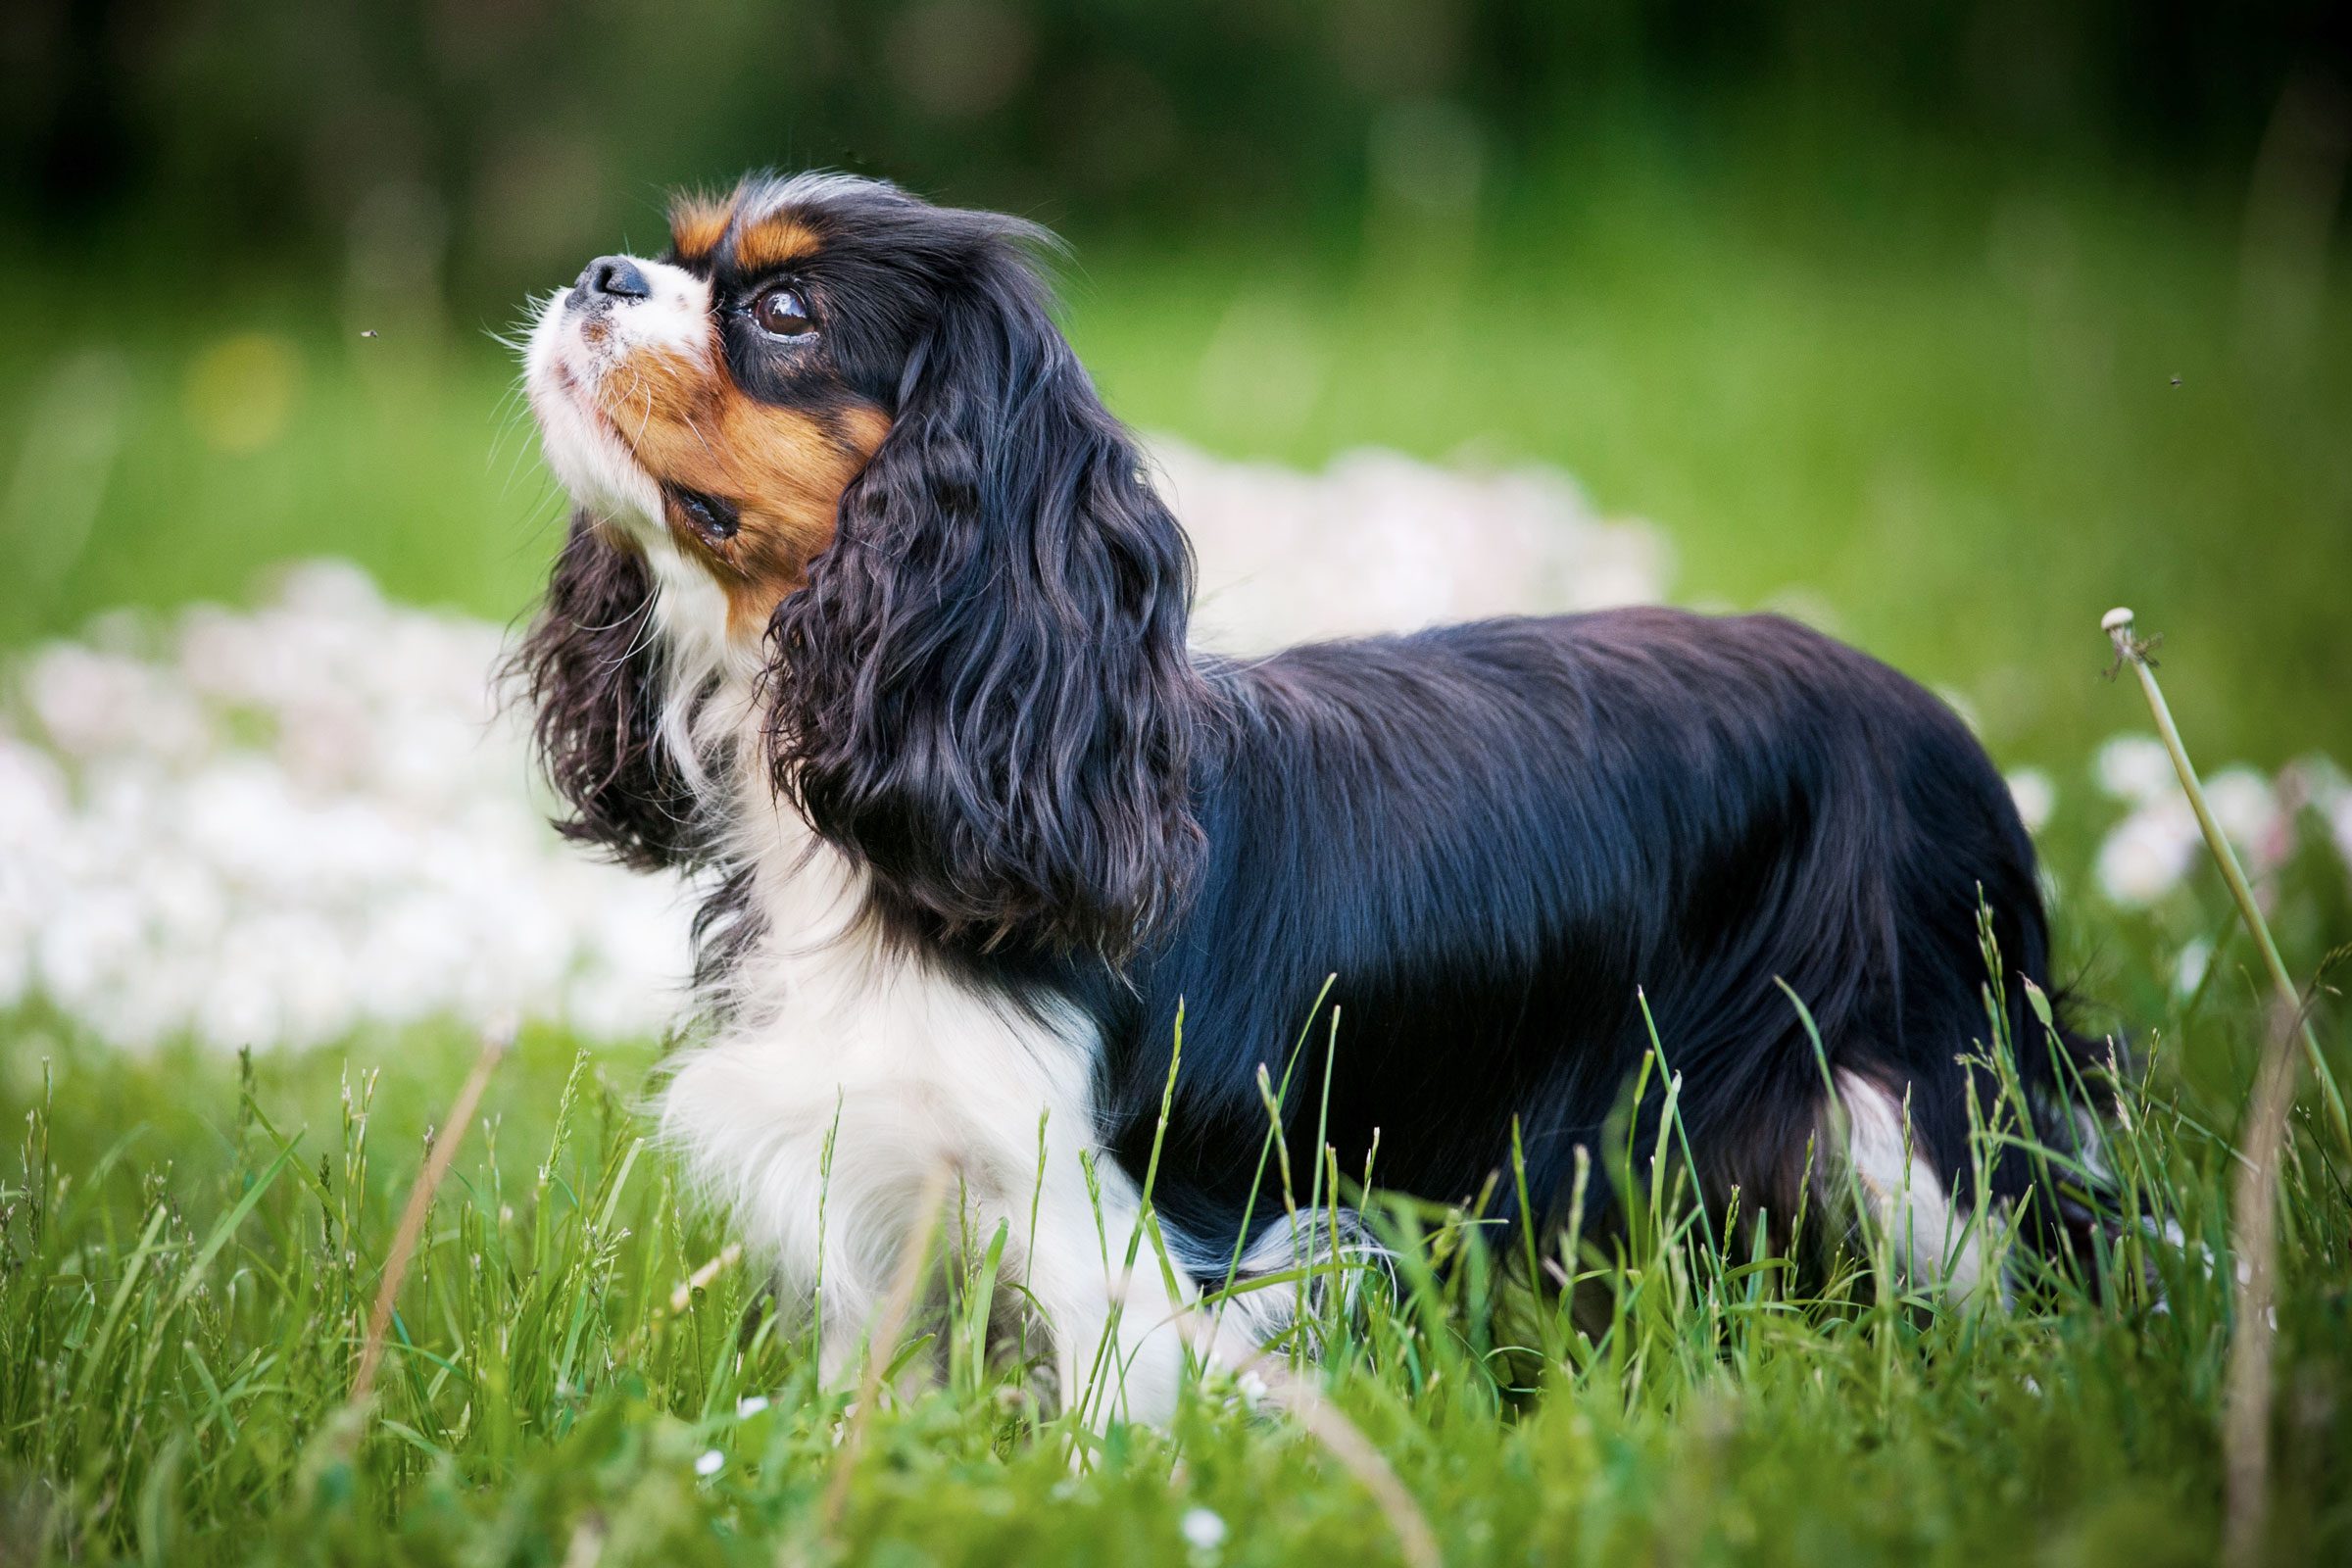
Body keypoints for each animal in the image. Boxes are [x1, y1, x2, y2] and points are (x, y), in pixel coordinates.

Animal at [514, 172, 2097, 1419]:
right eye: (678, 255)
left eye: (784, 314)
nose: (599, 274)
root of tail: (1929, 715)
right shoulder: (878, 1183)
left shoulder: (1113, 1226)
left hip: (1918, 1110)